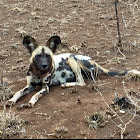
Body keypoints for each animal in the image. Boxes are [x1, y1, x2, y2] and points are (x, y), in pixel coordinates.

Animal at [7, 35, 139, 107]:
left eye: (48, 56)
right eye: (38, 56)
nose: (45, 65)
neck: (38, 72)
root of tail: (95, 62)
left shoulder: (45, 87)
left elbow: (36, 94)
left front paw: (31, 102)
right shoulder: (30, 86)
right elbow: (18, 92)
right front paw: (11, 100)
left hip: (72, 59)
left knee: (81, 82)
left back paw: (66, 84)